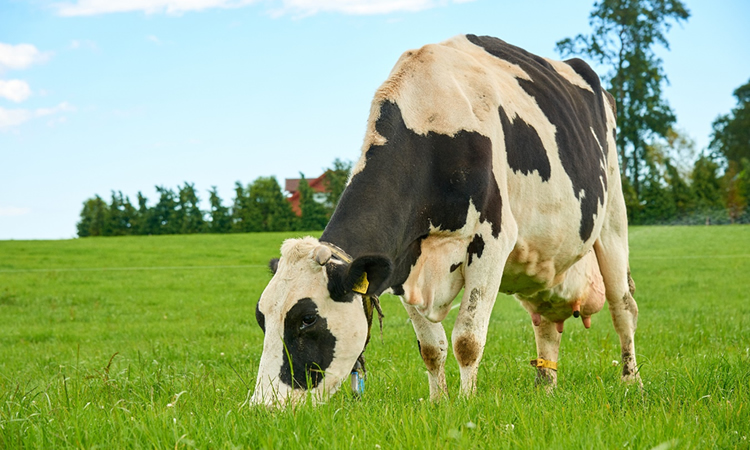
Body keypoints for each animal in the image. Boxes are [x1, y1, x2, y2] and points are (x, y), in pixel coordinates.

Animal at [253, 35, 640, 408]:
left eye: (307, 318)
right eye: (261, 318)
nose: (263, 406)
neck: (430, 119)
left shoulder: (492, 240)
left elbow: (467, 340)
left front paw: (467, 404)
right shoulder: (404, 261)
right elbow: (430, 348)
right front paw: (438, 402)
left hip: (613, 216)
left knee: (623, 307)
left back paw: (630, 382)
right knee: (545, 323)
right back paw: (545, 389)